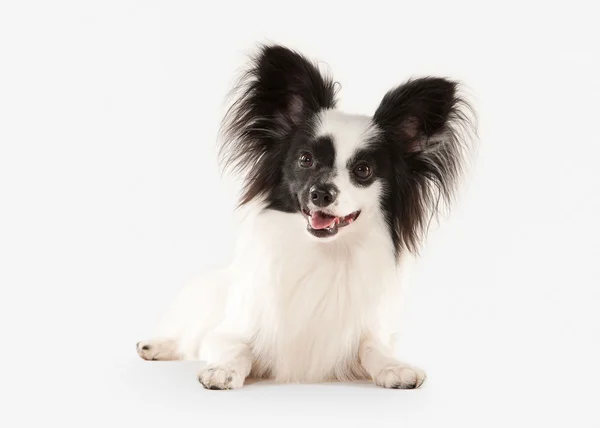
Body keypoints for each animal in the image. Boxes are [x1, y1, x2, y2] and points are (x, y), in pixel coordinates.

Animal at [137, 44, 478, 392]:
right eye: (305, 159)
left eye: (363, 170)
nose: (321, 193)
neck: (322, 254)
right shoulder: (227, 332)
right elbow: (235, 347)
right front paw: (223, 369)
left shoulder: (369, 331)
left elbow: (372, 347)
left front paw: (394, 367)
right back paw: (156, 345)